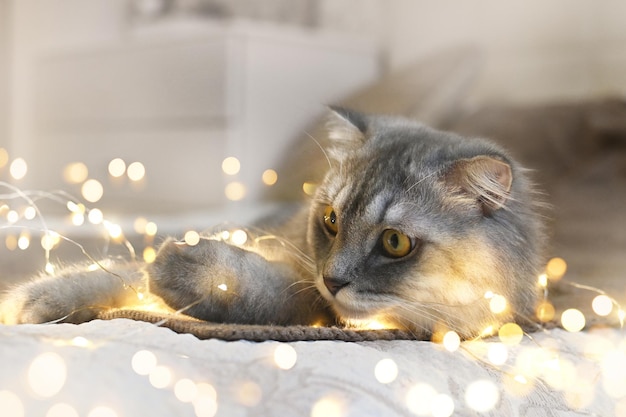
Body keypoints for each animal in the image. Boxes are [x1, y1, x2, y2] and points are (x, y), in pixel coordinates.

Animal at [0, 108, 540, 338]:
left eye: (394, 242)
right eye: (330, 220)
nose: (333, 278)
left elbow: (274, 293)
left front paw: (189, 271)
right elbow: (121, 273)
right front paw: (36, 300)